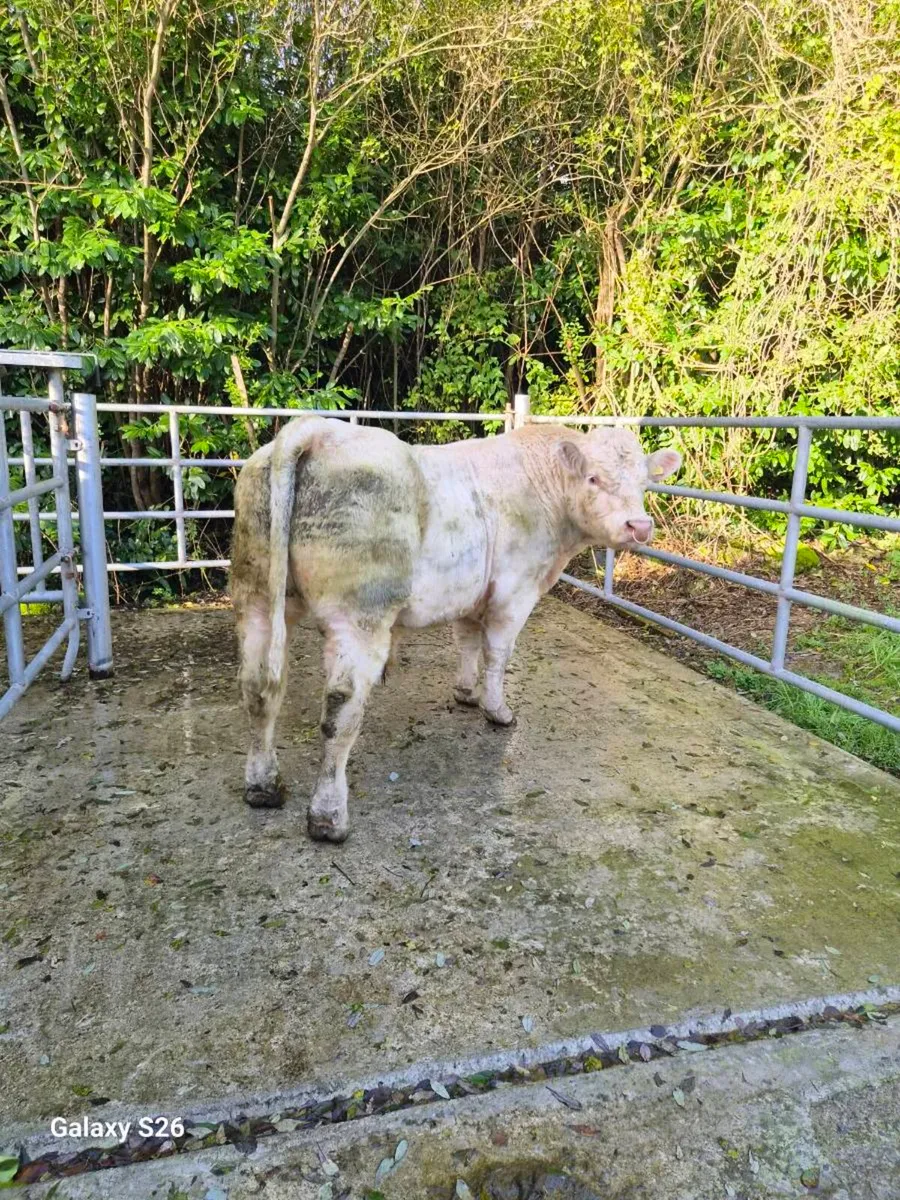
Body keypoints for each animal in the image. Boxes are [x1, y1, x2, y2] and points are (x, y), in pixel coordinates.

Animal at [230, 416, 681, 842]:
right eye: (593, 478)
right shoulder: (514, 591)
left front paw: (465, 692)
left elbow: (465, 639)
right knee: (340, 710)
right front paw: (497, 710)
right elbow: (497, 653)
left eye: (644, 483)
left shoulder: (471, 591)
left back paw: (263, 786)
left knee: (258, 689)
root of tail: (319, 430)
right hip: (359, 617)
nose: (639, 526)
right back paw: (328, 817)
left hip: (256, 597)